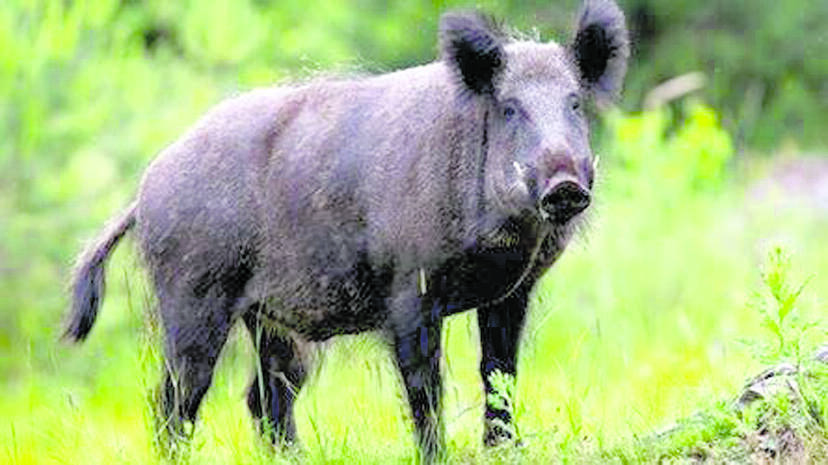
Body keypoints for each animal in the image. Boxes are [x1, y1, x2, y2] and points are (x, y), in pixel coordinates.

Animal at [64, 0, 628, 461]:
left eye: (575, 103)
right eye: (510, 108)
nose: (564, 184)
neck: (504, 243)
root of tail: (144, 190)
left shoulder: (512, 293)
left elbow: (499, 373)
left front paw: (505, 451)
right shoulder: (409, 290)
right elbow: (425, 389)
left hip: (269, 319)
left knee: (264, 397)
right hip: (192, 295)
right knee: (176, 398)